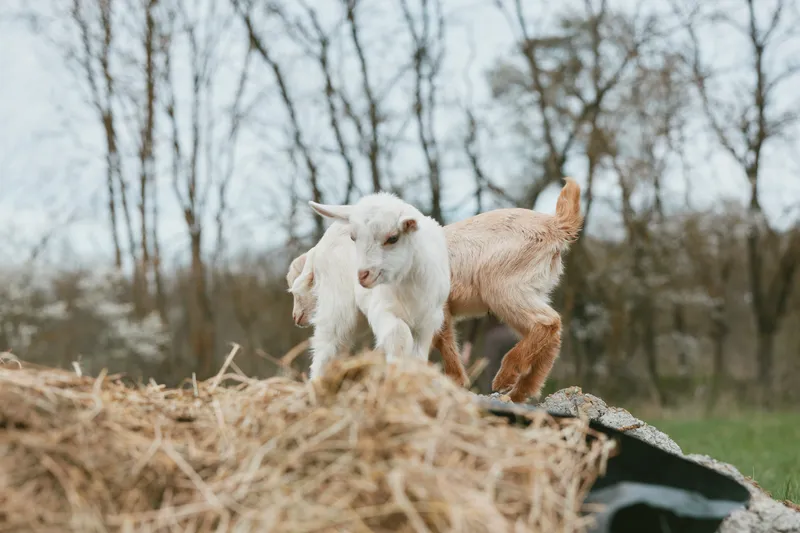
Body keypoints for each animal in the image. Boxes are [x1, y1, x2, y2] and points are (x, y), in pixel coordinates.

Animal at [308, 192, 451, 366]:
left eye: (393, 238)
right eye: (353, 237)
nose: (363, 275)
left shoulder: (429, 319)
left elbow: (418, 355)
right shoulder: (381, 307)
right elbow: (399, 335)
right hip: (336, 302)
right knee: (328, 346)